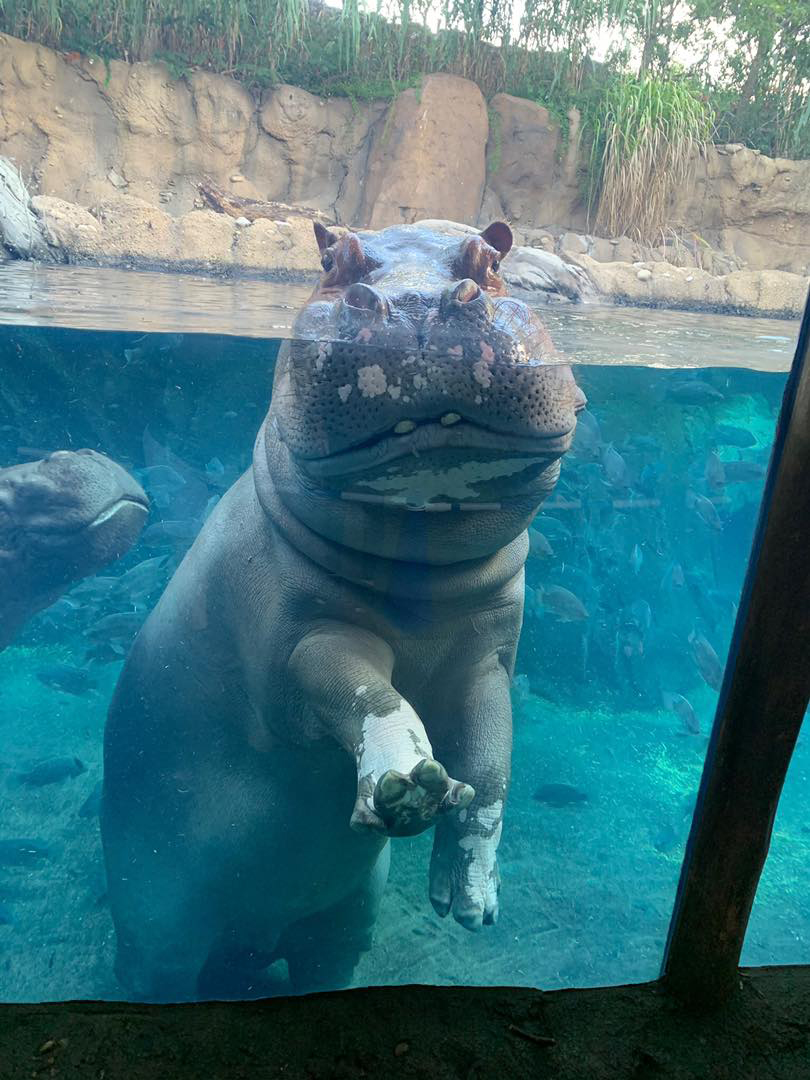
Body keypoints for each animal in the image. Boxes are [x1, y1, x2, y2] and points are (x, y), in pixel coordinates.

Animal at [101, 221, 583, 1002]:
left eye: (494, 253)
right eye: (330, 257)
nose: (416, 304)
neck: (422, 582)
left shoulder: (487, 656)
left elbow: (492, 759)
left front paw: (471, 900)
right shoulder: (299, 641)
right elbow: (364, 692)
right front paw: (407, 786)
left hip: (344, 918)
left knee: (326, 958)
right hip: (159, 925)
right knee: (158, 969)